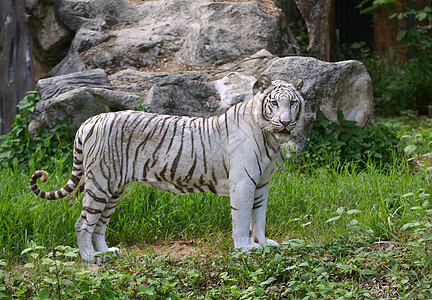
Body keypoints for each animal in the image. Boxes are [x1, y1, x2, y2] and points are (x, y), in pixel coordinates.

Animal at [29, 75, 304, 262]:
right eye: (274, 104)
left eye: (292, 103)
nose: (285, 122)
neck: (269, 138)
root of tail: (90, 121)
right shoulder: (243, 183)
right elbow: (242, 217)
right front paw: (245, 249)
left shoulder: (261, 184)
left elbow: (259, 217)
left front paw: (263, 243)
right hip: (100, 182)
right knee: (83, 222)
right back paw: (89, 257)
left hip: (113, 187)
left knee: (99, 224)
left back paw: (107, 252)